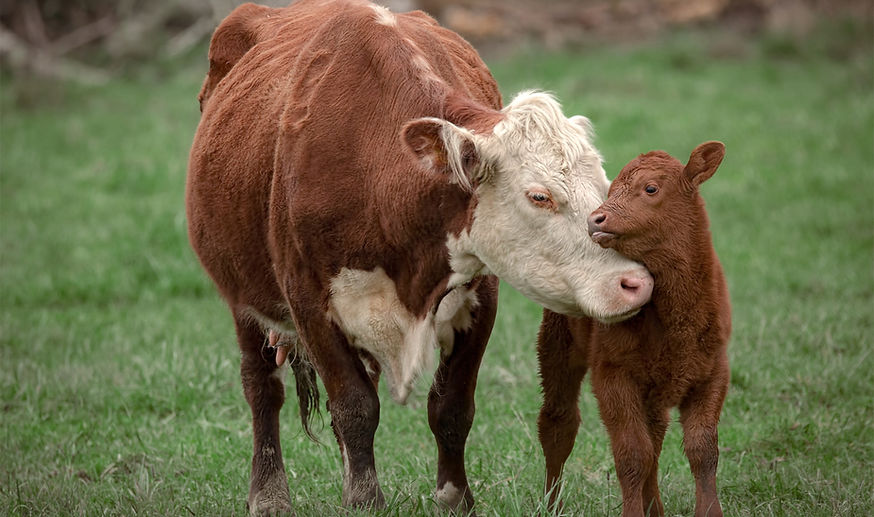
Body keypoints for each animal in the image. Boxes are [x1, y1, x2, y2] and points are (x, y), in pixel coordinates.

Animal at [185, 0, 653, 514]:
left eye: (604, 187)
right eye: (539, 196)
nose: (635, 283)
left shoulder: (480, 296)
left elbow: (450, 407)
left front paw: (454, 497)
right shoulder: (308, 302)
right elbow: (354, 406)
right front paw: (365, 500)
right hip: (243, 297)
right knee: (261, 386)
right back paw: (268, 494)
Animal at [536, 142, 731, 517]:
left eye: (651, 188)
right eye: (611, 190)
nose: (595, 218)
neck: (676, 322)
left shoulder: (713, 371)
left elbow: (702, 449)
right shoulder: (613, 375)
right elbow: (631, 454)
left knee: (655, 438)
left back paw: (655, 508)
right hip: (556, 346)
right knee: (558, 424)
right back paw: (551, 505)